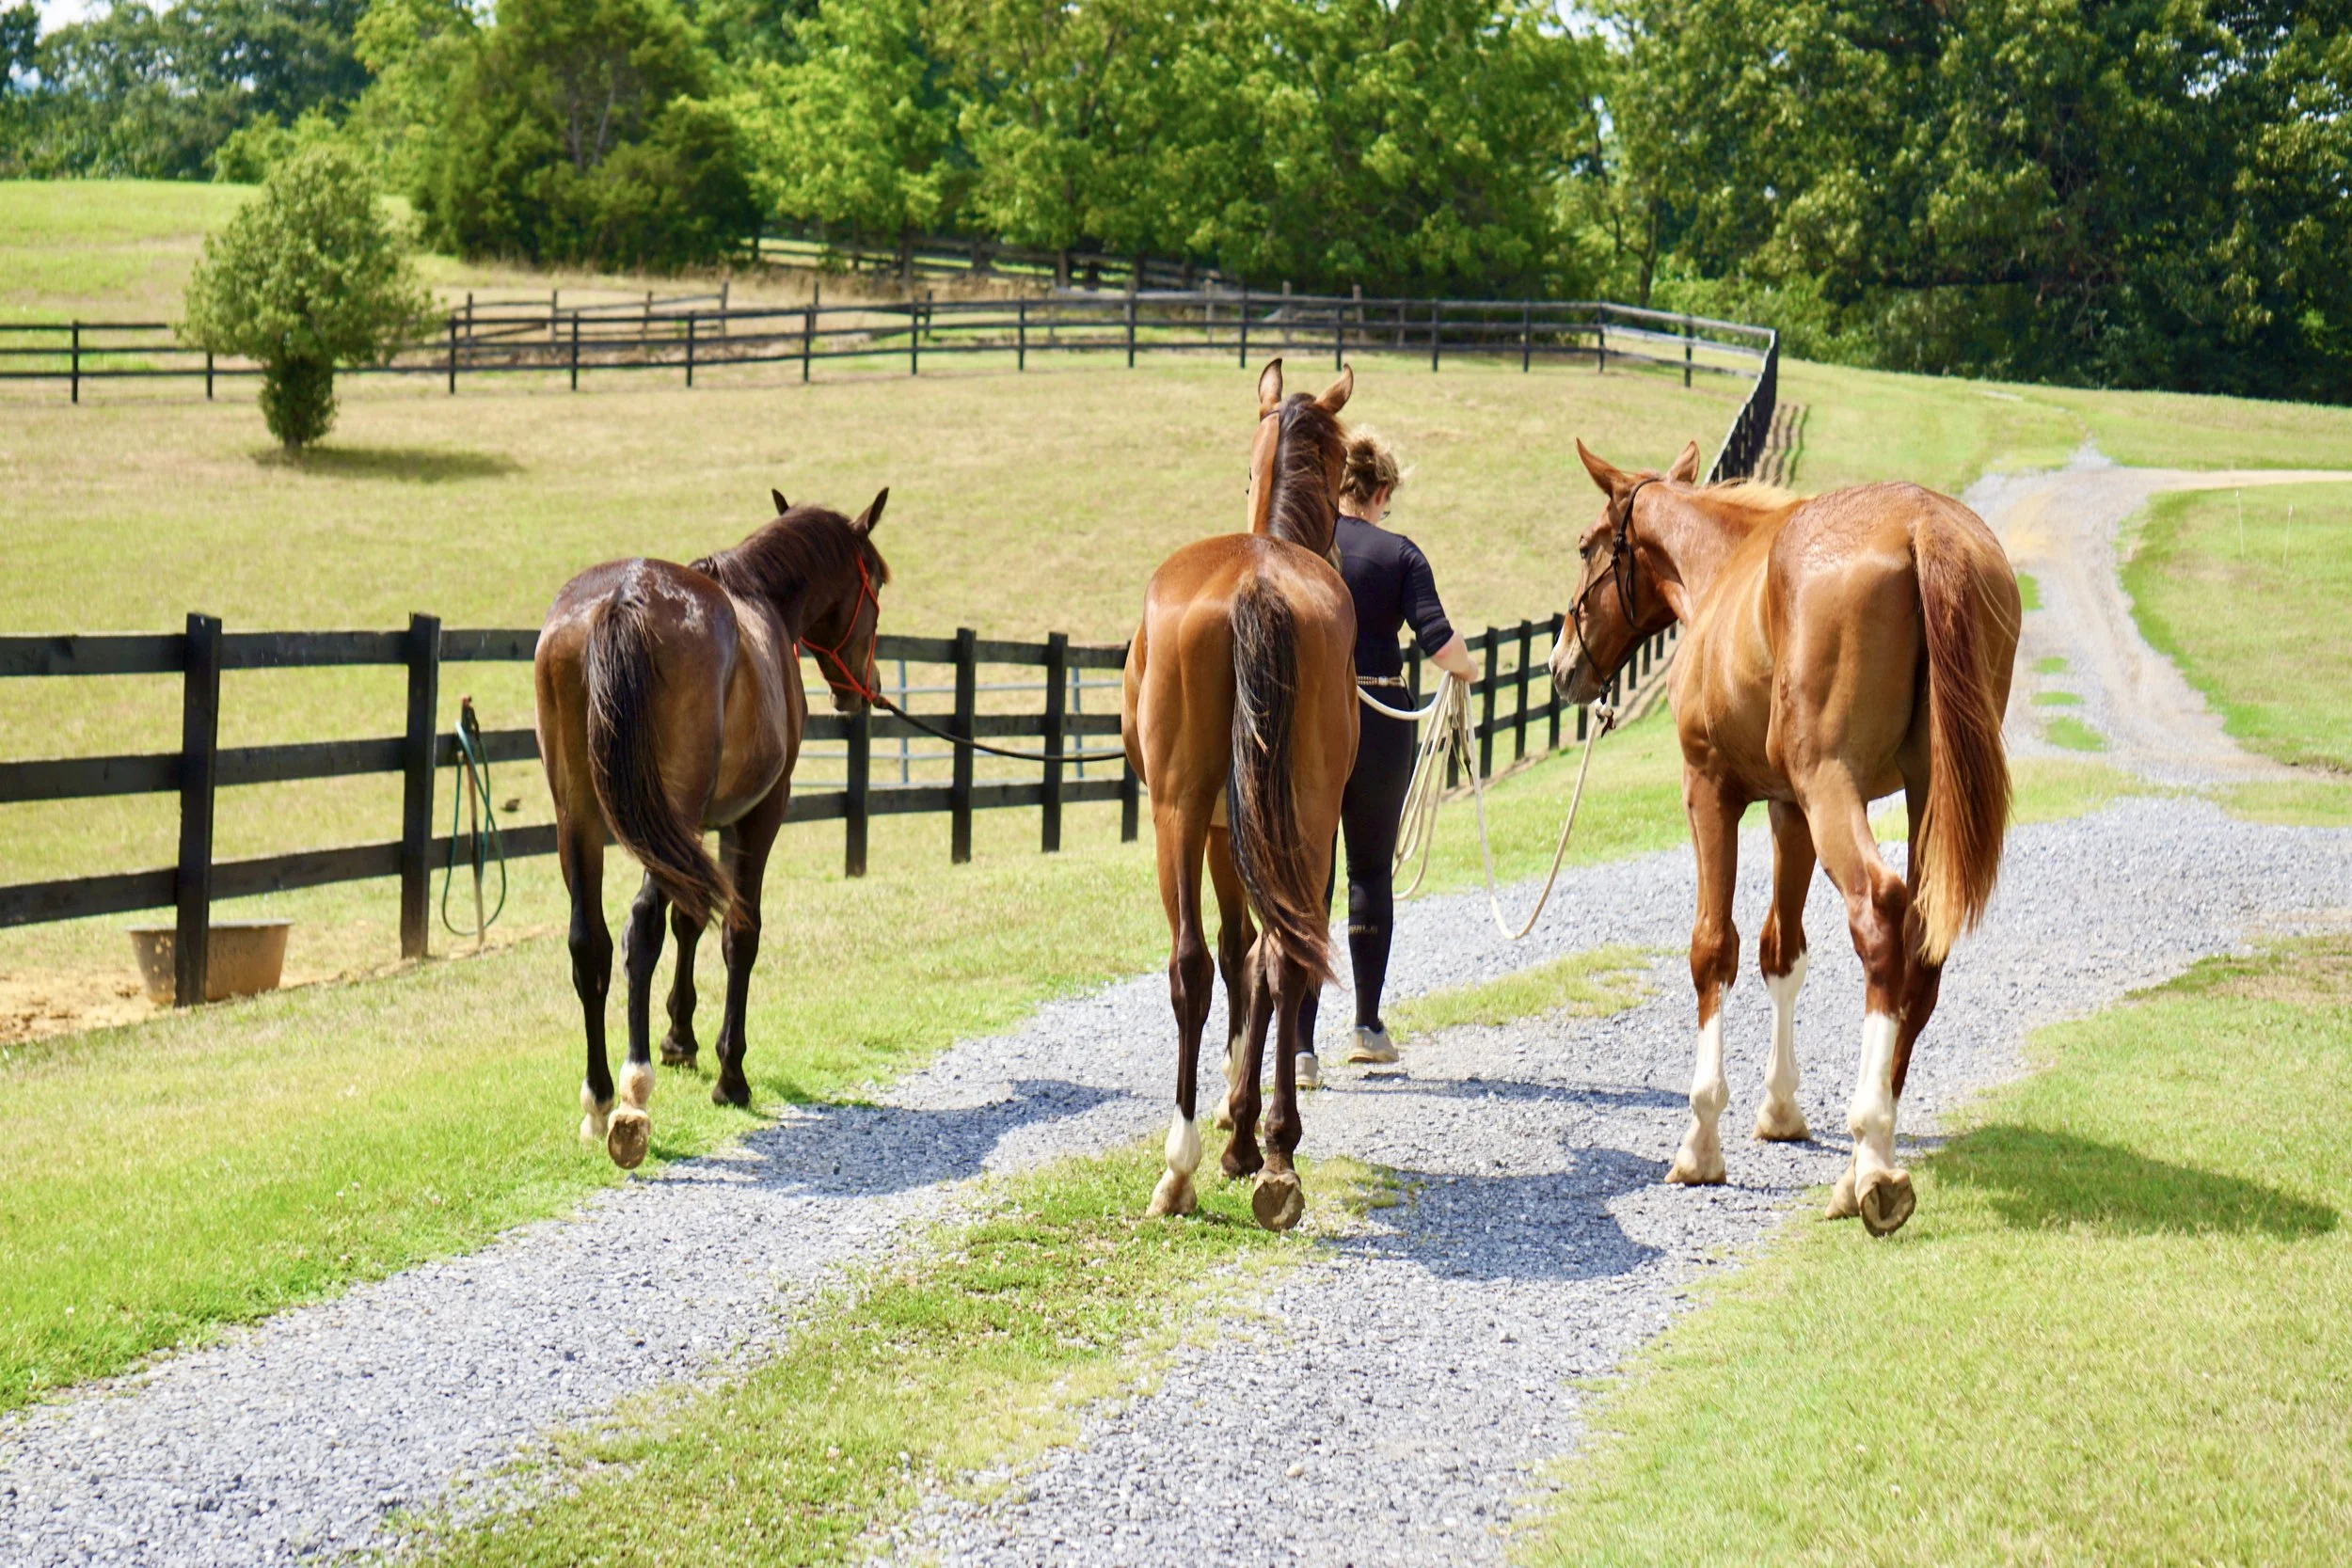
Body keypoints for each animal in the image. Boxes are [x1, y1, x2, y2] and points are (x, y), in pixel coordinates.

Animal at [533, 488, 891, 1169]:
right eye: (879, 583)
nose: (867, 689)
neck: (764, 603)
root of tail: (622, 597)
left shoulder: (693, 831)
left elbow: (690, 921)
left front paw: (680, 1038)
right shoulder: (757, 815)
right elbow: (736, 933)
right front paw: (730, 1073)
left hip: (580, 820)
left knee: (589, 942)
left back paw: (598, 1098)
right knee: (639, 930)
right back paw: (632, 1100)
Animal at [1122, 359, 1360, 1231]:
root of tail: (1259, 583)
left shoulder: (1223, 835)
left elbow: (1232, 952)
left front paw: (1233, 1116)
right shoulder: (1262, 830)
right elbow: (1259, 958)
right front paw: (1250, 1126)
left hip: (1181, 815)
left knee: (1193, 963)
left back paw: (1186, 1163)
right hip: (1307, 815)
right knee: (1287, 956)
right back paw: (1281, 1162)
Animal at [1550, 440, 2018, 1236]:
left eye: (1586, 547)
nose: (1560, 667)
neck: (1724, 568)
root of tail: (1923, 524)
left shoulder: (1710, 790)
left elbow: (1714, 948)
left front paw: (1702, 1140)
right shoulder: (1787, 808)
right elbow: (1781, 951)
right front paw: (1780, 1108)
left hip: (1835, 788)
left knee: (1880, 913)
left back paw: (1872, 1155)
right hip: (1923, 790)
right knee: (1920, 947)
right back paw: (1863, 1164)